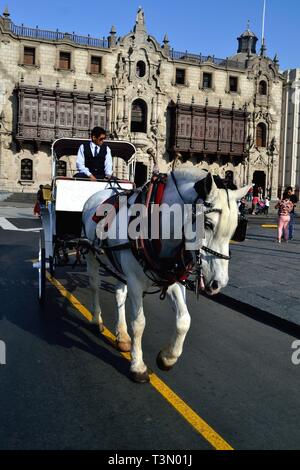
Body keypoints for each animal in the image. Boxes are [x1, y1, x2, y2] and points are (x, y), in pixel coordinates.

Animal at [82, 169, 251, 382]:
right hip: (91, 254)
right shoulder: (135, 282)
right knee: (94, 286)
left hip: (119, 265)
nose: (218, 283)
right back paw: (96, 320)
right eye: (208, 223)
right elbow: (139, 323)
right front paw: (137, 366)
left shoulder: (172, 279)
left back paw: (122, 336)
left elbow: (184, 320)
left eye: (237, 229)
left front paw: (168, 357)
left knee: (119, 293)